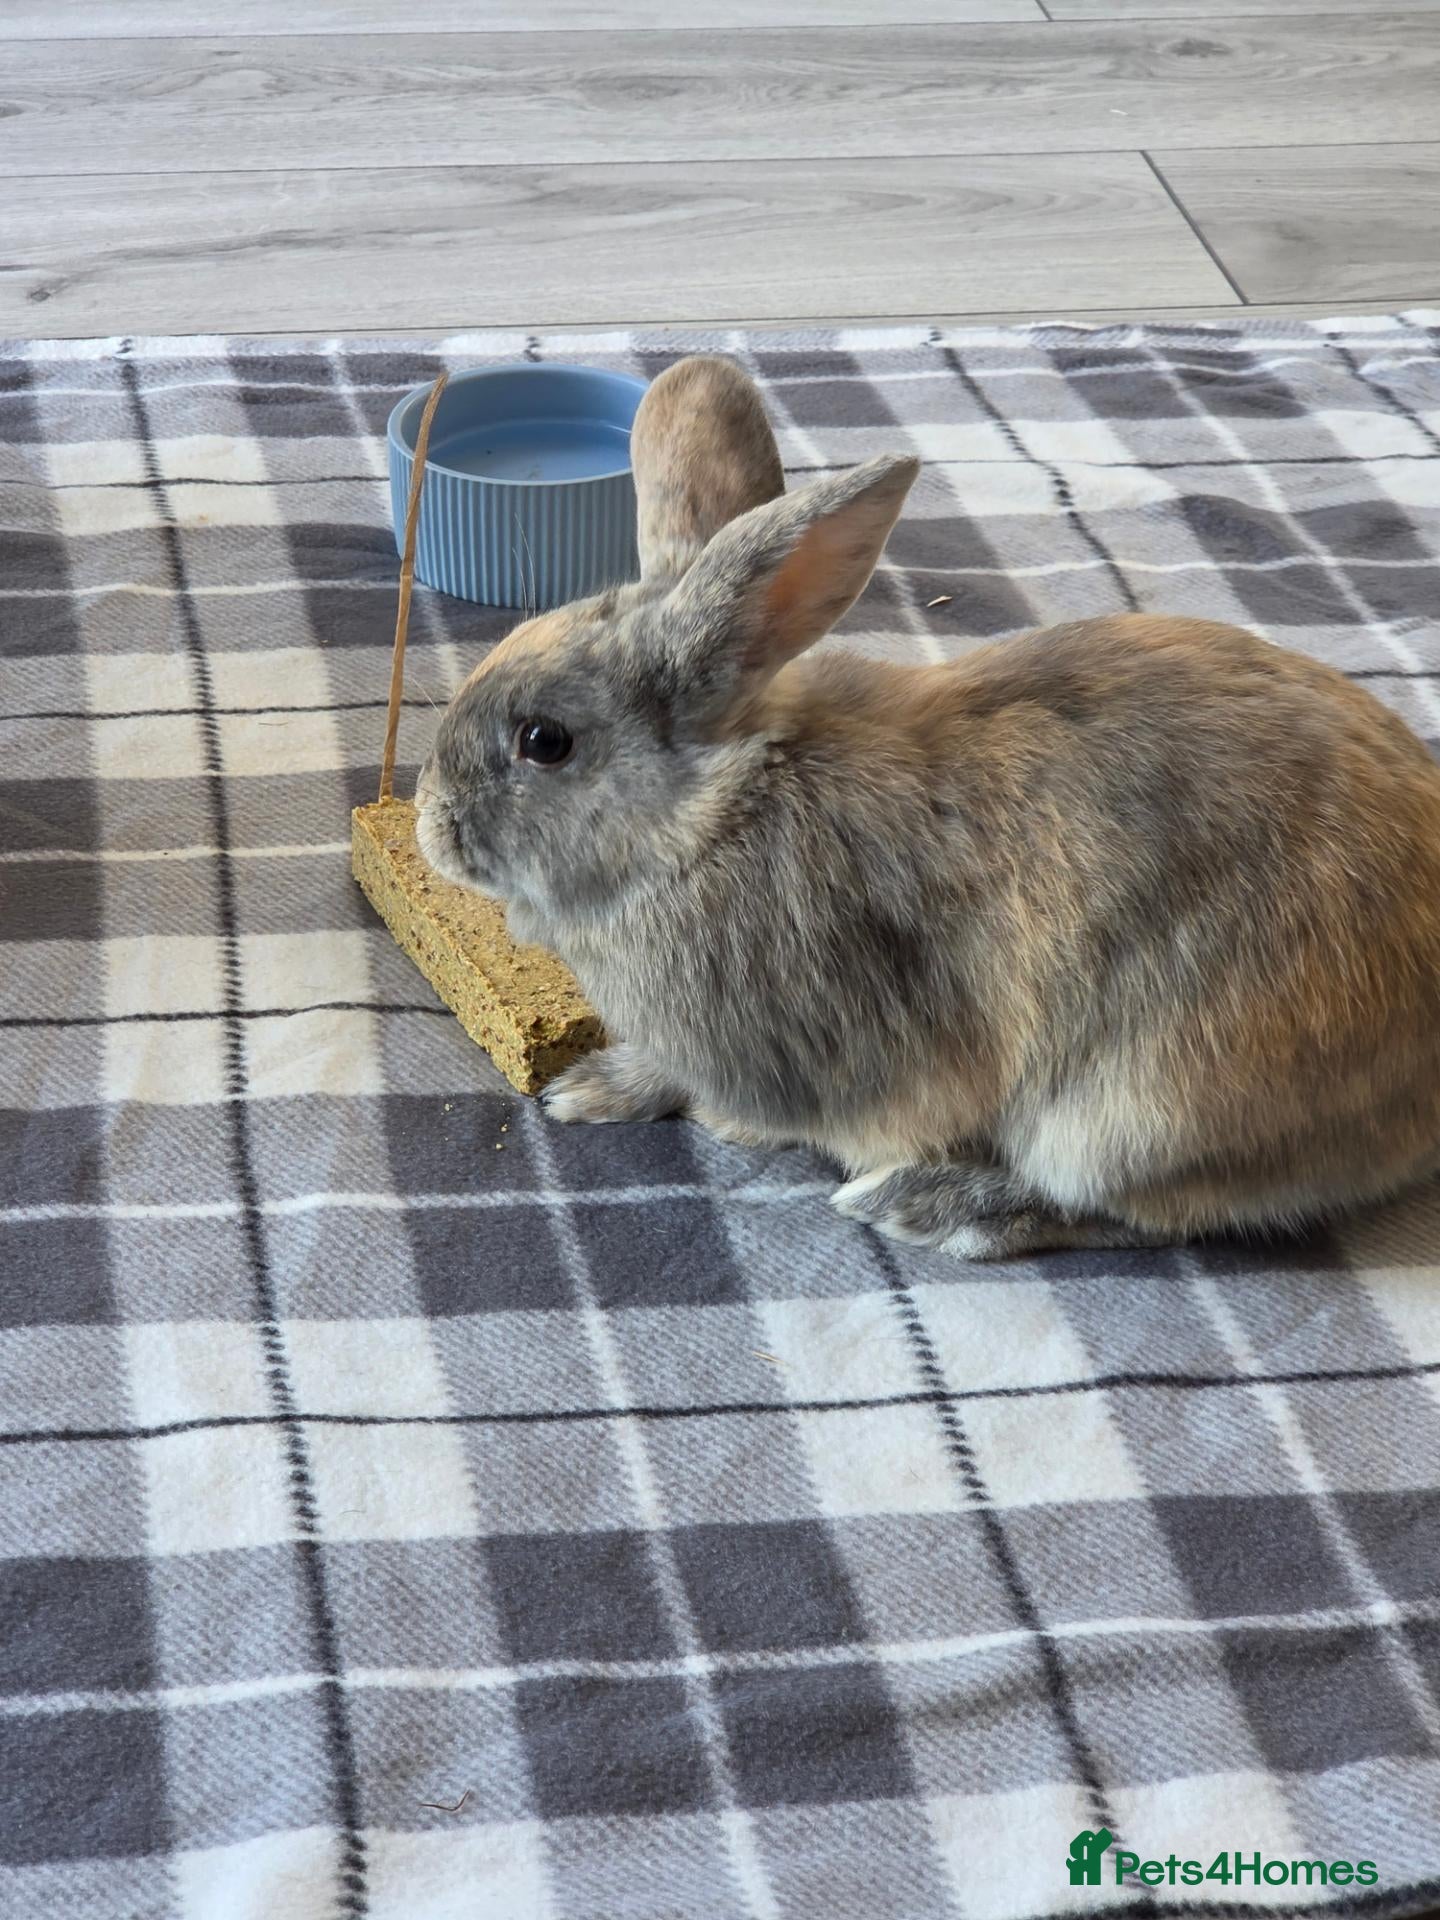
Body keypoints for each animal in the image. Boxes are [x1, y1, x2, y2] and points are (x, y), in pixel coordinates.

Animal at [416, 353, 1440, 1260]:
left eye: (544, 740)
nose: (429, 826)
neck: (706, 822)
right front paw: (591, 1087)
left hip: (1139, 1111)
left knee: (1146, 1211)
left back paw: (936, 1206)